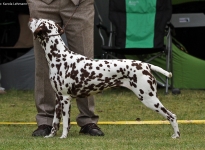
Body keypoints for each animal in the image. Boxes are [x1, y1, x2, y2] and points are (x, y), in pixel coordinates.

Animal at [28, 17, 179, 139]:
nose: (30, 19)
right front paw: (50, 136)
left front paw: (63, 137)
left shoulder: (65, 98)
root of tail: (146, 65)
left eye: (38, 21)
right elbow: (55, 123)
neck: (59, 56)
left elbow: (65, 123)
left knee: (172, 115)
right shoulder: (58, 99)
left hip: (149, 99)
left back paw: (176, 136)